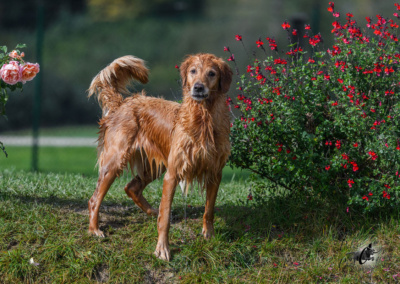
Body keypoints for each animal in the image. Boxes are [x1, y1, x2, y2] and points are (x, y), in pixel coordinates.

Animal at [87, 52, 231, 260]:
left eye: (212, 73)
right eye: (193, 71)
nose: (198, 87)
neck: (203, 119)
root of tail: (123, 103)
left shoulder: (214, 173)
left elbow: (209, 209)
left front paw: (209, 235)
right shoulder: (172, 174)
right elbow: (165, 217)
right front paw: (162, 249)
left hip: (154, 167)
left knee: (131, 187)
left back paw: (151, 211)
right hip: (115, 162)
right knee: (94, 199)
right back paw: (94, 229)